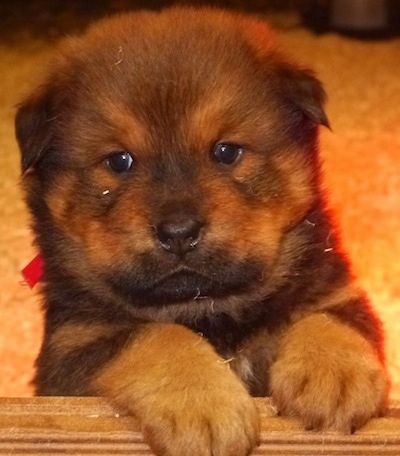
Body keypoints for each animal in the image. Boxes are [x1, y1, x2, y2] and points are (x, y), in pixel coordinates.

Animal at [15, 8, 388, 456]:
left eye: (226, 151)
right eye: (119, 161)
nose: (178, 231)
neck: (208, 307)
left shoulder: (336, 292)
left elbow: (330, 319)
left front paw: (335, 376)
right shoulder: (72, 348)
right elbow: (156, 335)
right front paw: (202, 407)